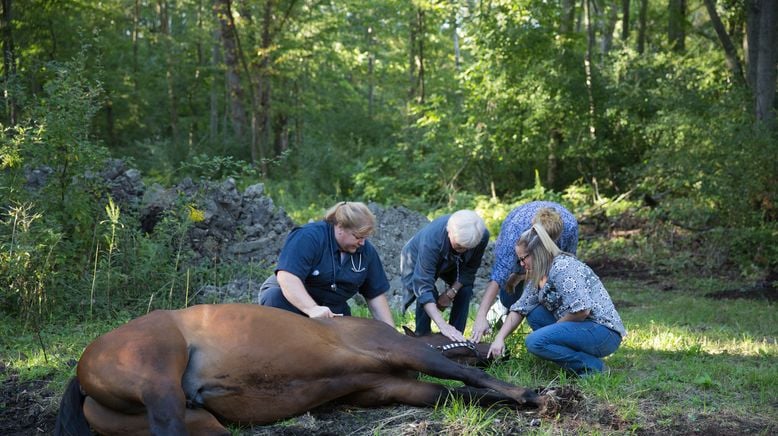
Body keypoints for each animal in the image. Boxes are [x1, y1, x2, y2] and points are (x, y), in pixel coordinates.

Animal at [54, 304, 544, 434]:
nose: (494, 350)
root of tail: (82, 371)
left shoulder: (388, 388)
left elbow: (460, 394)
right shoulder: (400, 353)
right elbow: (467, 378)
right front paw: (531, 396)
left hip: (199, 419)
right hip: (162, 391)